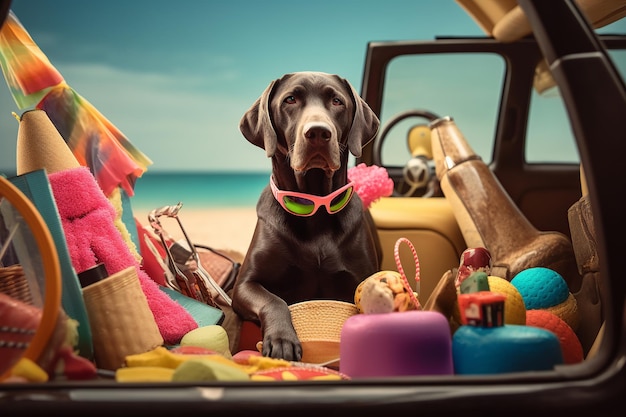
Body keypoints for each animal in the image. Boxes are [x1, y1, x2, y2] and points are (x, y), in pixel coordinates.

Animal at [233, 71, 380, 360]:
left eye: (337, 101)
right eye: (290, 99)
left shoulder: (359, 280)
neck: (314, 207)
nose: (318, 132)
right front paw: (282, 339)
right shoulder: (245, 284)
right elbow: (273, 299)